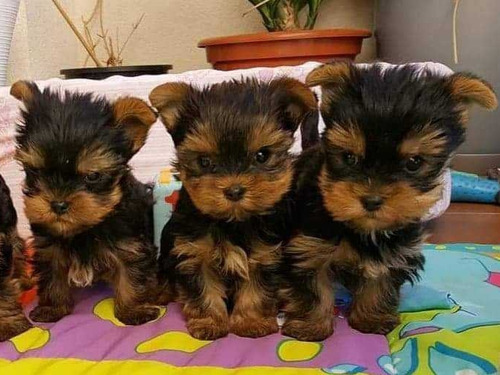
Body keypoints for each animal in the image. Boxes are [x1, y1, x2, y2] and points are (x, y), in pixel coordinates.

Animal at [10, 81, 159, 326]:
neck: (85, 229)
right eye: (35, 171)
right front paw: (53, 308)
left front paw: (132, 310)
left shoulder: (129, 244)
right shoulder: (48, 247)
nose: (58, 204)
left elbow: (130, 273)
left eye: (92, 176)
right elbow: (52, 276)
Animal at [150, 78, 318, 340]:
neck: (232, 222)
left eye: (262, 155)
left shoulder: (264, 254)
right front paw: (209, 321)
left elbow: (256, 289)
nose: (234, 190)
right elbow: (203, 288)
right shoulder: (194, 253)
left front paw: (251, 322)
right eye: (204, 161)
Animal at [280, 63, 498, 342]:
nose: (372, 200)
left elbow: (380, 279)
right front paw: (311, 326)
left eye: (414, 162)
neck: (364, 229)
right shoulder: (310, 245)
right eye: (349, 158)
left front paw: (371, 318)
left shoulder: (396, 250)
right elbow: (312, 286)